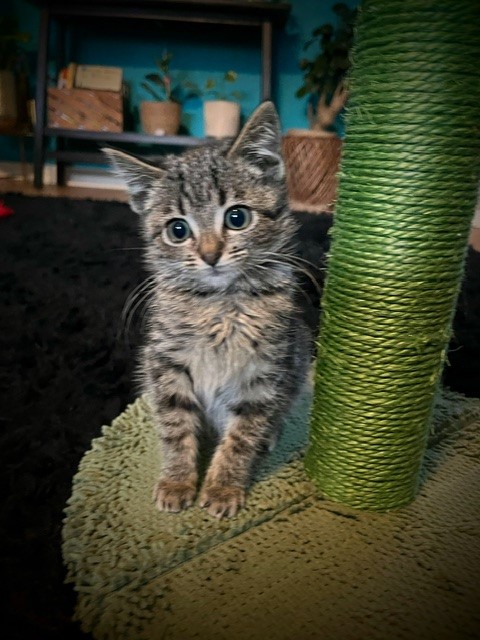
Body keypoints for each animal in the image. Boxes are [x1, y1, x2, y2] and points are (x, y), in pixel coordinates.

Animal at [105, 102, 314, 516]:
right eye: (178, 230)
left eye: (237, 217)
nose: (210, 255)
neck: (222, 304)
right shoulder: (165, 361)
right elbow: (175, 424)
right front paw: (177, 480)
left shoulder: (266, 369)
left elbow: (242, 434)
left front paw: (222, 487)